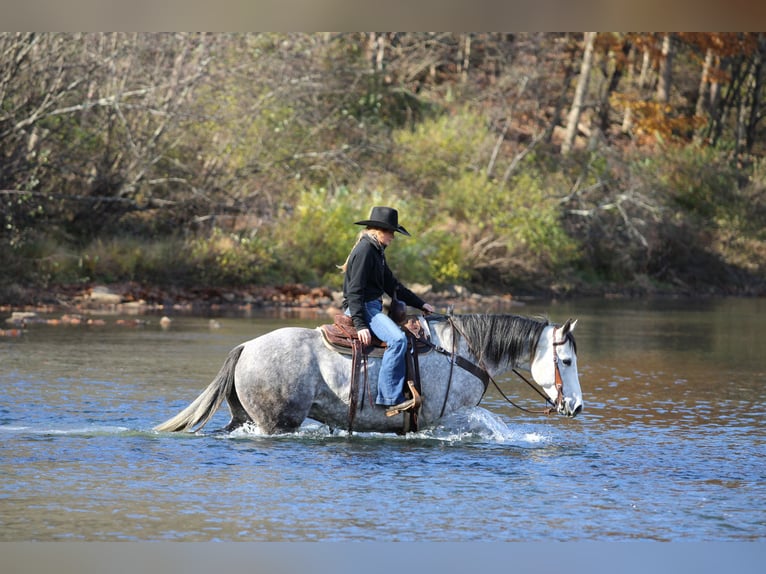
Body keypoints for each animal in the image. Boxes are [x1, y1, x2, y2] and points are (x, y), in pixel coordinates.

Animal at [153, 313, 582, 435]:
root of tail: (246, 347)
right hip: (275, 423)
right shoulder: (444, 419)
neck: (461, 352)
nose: (577, 406)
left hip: (244, 416)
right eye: (566, 361)